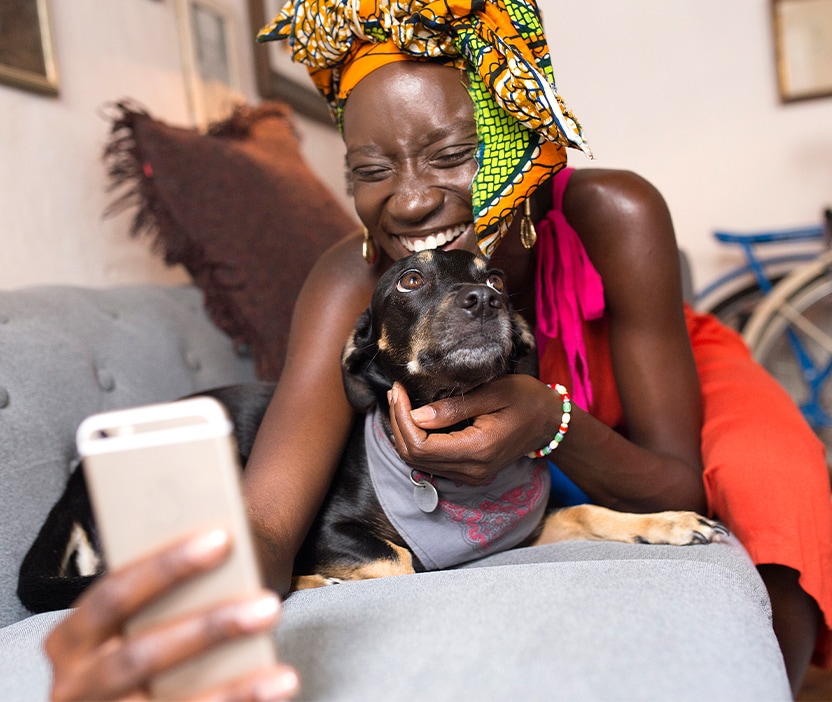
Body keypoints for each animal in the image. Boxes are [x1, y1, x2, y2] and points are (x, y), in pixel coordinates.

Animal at [16, 252, 724, 612]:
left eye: (494, 276)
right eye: (410, 280)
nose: (486, 301)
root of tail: (75, 480)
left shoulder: (530, 527)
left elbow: (588, 513)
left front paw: (667, 522)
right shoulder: (329, 531)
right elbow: (401, 559)